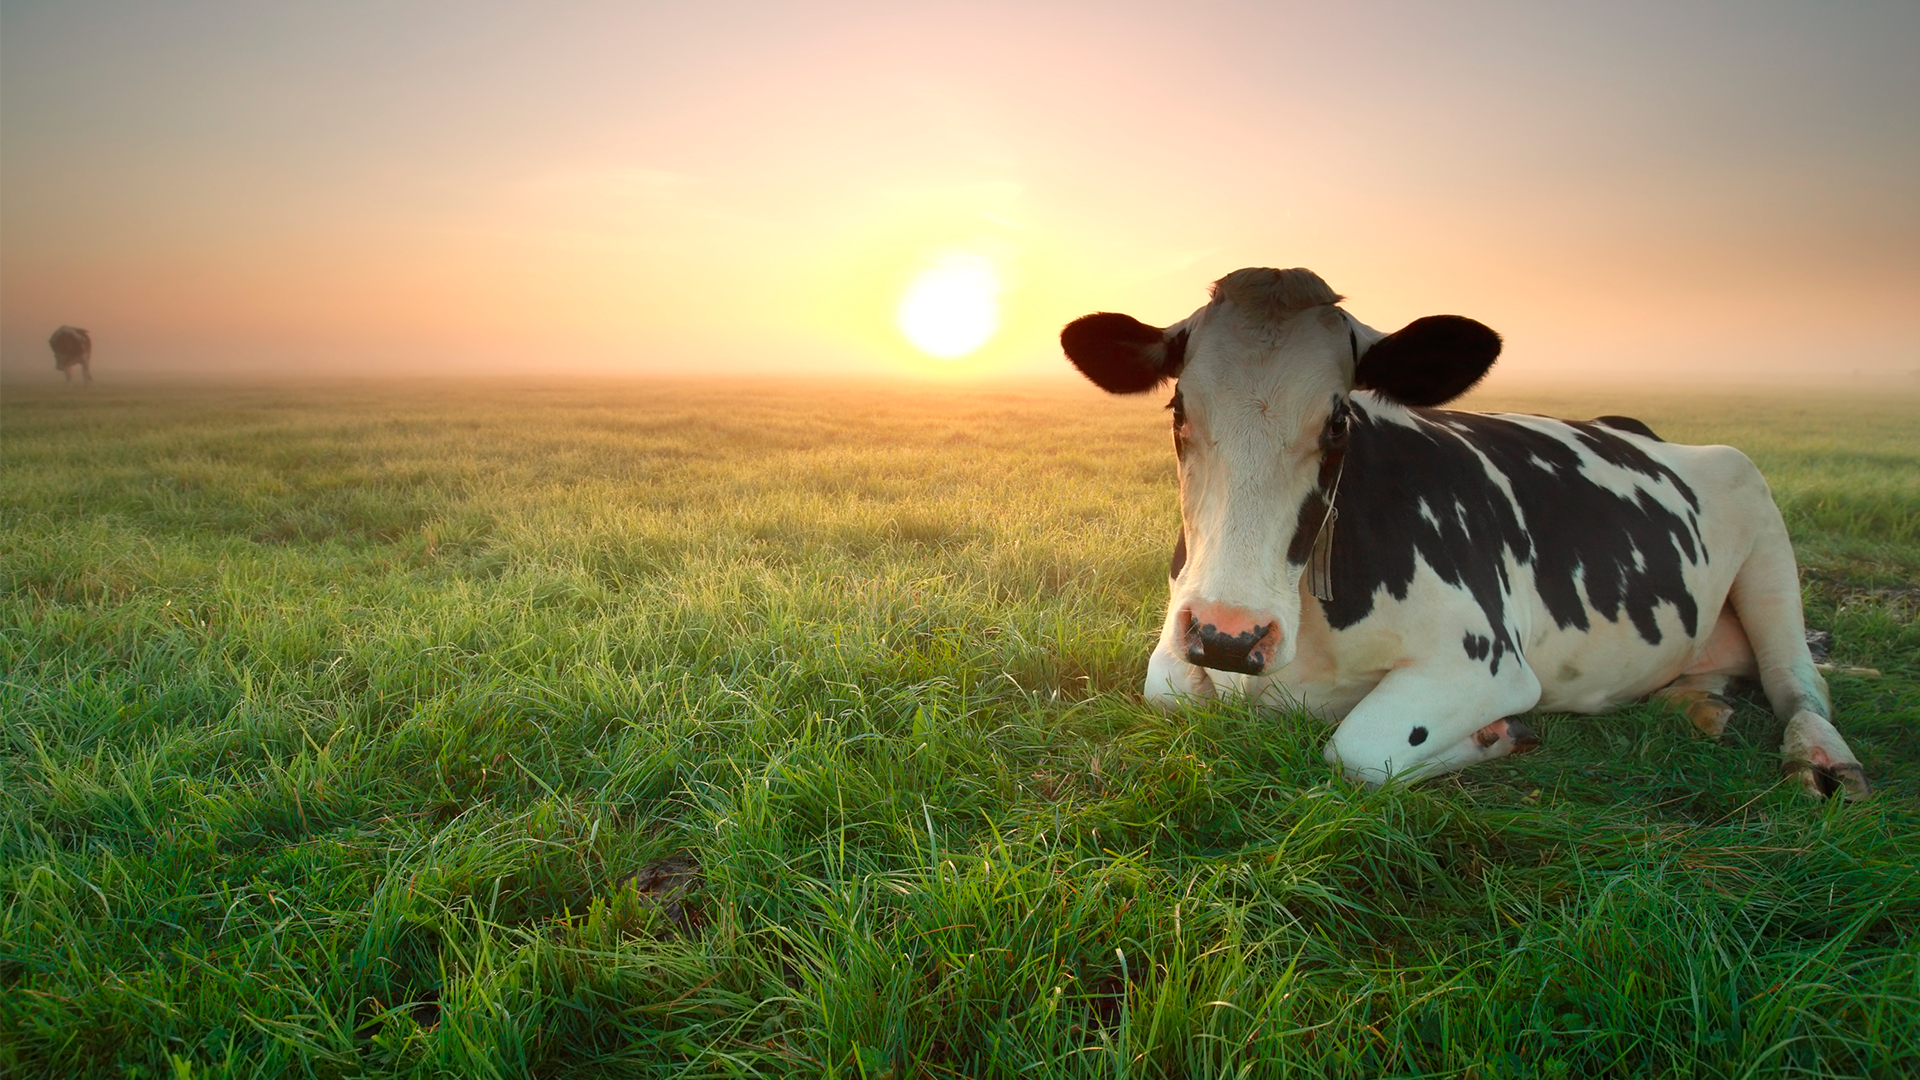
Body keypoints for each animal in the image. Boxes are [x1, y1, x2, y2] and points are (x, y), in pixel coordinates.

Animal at [1061, 267, 1869, 800]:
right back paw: (1695, 704)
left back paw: (1821, 758)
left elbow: (1361, 752)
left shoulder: (1486, 662)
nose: (1228, 635)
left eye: (1338, 422)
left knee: (1798, 682)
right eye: (1178, 410)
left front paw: (1496, 736)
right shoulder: (1175, 645)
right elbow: (1169, 691)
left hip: (1760, 519)